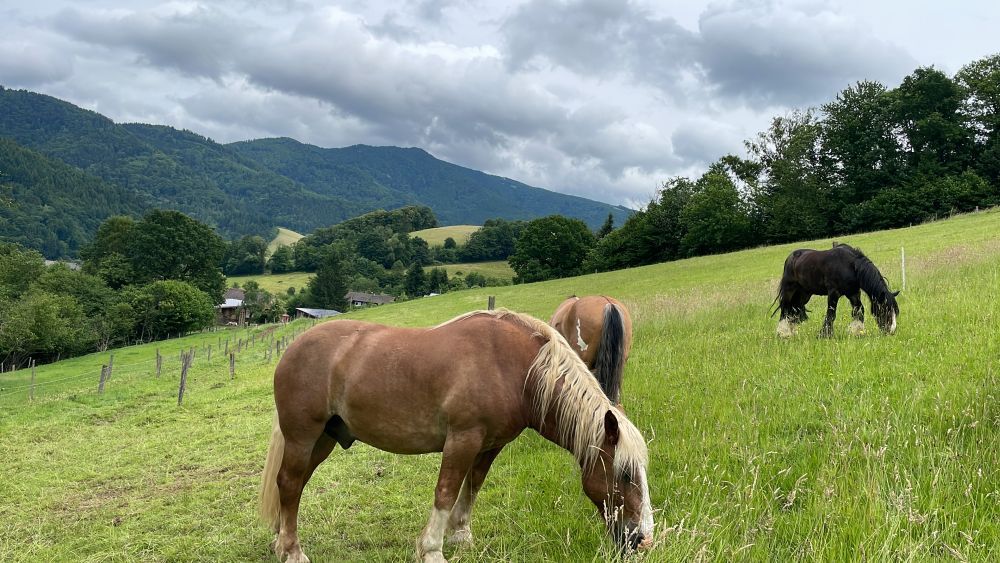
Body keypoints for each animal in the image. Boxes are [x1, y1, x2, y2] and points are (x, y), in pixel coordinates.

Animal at [259, 309, 654, 563]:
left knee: (293, 485)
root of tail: (293, 348)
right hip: (303, 435)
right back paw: (292, 551)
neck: (513, 367)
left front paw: (461, 535)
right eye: (623, 474)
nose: (642, 539)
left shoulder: (490, 445)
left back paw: (280, 539)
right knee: (289, 483)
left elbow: (472, 486)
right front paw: (432, 549)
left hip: (323, 440)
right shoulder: (463, 439)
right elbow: (446, 492)